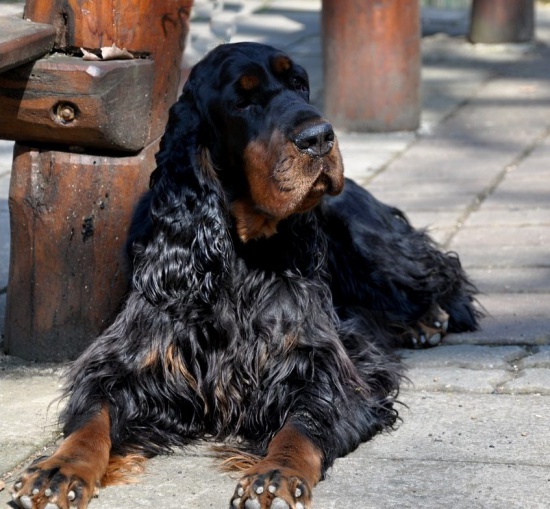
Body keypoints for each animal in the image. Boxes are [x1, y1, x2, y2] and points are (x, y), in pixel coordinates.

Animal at [12, 42, 479, 509]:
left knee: (440, 273)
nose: (320, 137)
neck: (240, 252)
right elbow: (92, 417)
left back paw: (428, 319)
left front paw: (276, 474)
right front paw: (57, 470)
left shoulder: (323, 365)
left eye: (299, 83)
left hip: (372, 249)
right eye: (243, 101)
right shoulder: (131, 357)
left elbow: (303, 422)